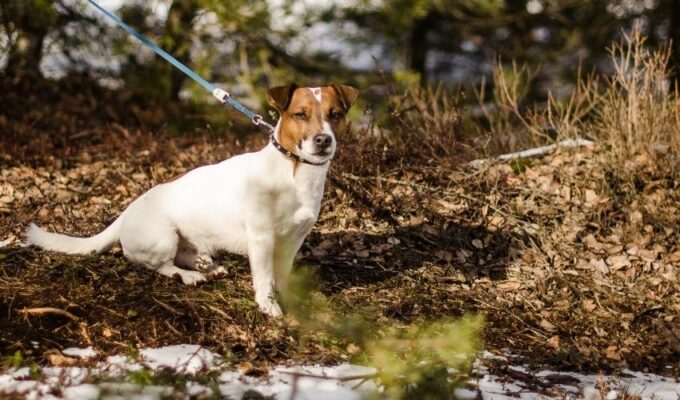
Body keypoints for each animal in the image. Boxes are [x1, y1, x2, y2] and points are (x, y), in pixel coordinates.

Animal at [25, 83, 358, 318]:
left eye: (335, 114)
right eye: (299, 114)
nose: (323, 140)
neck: (292, 170)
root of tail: (126, 213)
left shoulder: (293, 240)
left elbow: (283, 275)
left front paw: (291, 302)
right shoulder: (262, 239)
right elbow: (265, 279)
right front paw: (269, 307)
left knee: (186, 255)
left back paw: (206, 265)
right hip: (163, 237)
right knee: (155, 265)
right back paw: (188, 275)